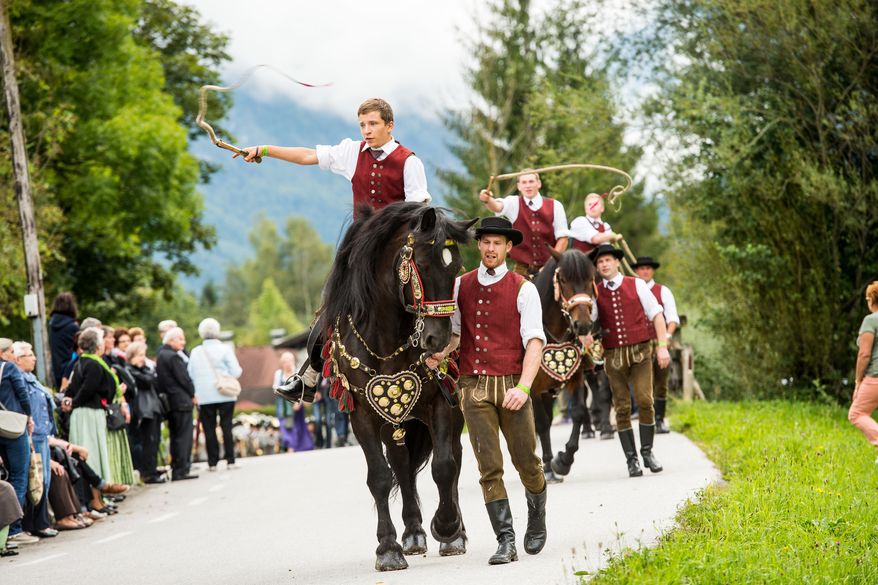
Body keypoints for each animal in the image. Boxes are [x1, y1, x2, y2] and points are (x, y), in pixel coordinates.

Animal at [322, 202, 478, 572]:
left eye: (457, 268)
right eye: (423, 264)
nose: (439, 340)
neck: (387, 338)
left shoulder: (441, 404)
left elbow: (444, 466)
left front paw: (447, 528)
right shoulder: (363, 417)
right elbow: (380, 476)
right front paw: (388, 548)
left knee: (451, 458)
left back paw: (453, 532)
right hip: (394, 423)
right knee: (402, 465)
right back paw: (413, 533)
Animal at [524, 251, 600, 484]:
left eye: (590, 279)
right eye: (563, 280)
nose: (582, 325)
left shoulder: (575, 378)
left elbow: (578, 412)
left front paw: (563, 461)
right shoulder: (533, 387)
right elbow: (541, 423)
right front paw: (549, 467)